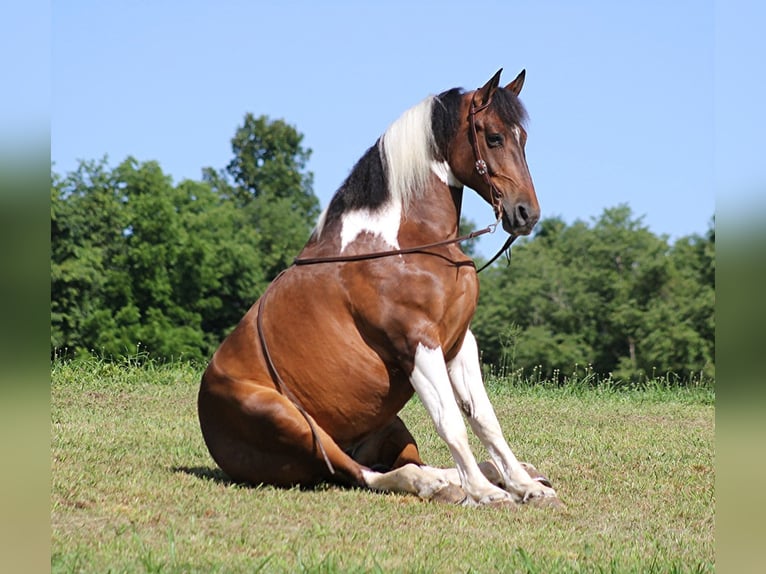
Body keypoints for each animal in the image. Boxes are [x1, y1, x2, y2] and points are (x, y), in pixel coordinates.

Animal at [198, 68, 560, 508]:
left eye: (521, 138)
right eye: (493, 137)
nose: (526, 214)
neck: (404, 242)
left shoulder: (460, 342)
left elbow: (485, 420)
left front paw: (522, 485)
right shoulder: (416, 342)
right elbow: (451, 421)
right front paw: (487, 493)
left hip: (387, 423)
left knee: (401, 463)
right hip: (290, 420)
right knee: (365, 473)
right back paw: (442, 485)